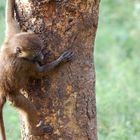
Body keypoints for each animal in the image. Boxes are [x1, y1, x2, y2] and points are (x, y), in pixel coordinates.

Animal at [0, 0, 74, 140]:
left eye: (40, 50)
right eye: (36, 54)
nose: (42, 57)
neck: (13, 51)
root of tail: (3, 91)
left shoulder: (12, 37)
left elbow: (9, 19)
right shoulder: (26, 63)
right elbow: (39, 74)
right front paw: (61, 60)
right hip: (14, 98)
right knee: (29, 107)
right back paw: (34, 131)